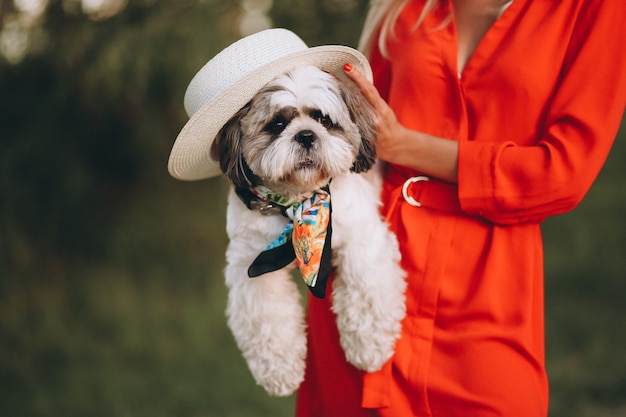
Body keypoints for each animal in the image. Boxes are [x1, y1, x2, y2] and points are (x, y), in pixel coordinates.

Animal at [210, 65, 404, 396]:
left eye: (324, 120)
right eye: (277, 124)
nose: (306, 135)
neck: (297, 202)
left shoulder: (362, 238)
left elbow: (366, 288)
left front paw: (369, 346)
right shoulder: (249, 263)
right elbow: (268, 319)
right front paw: (280, 370)